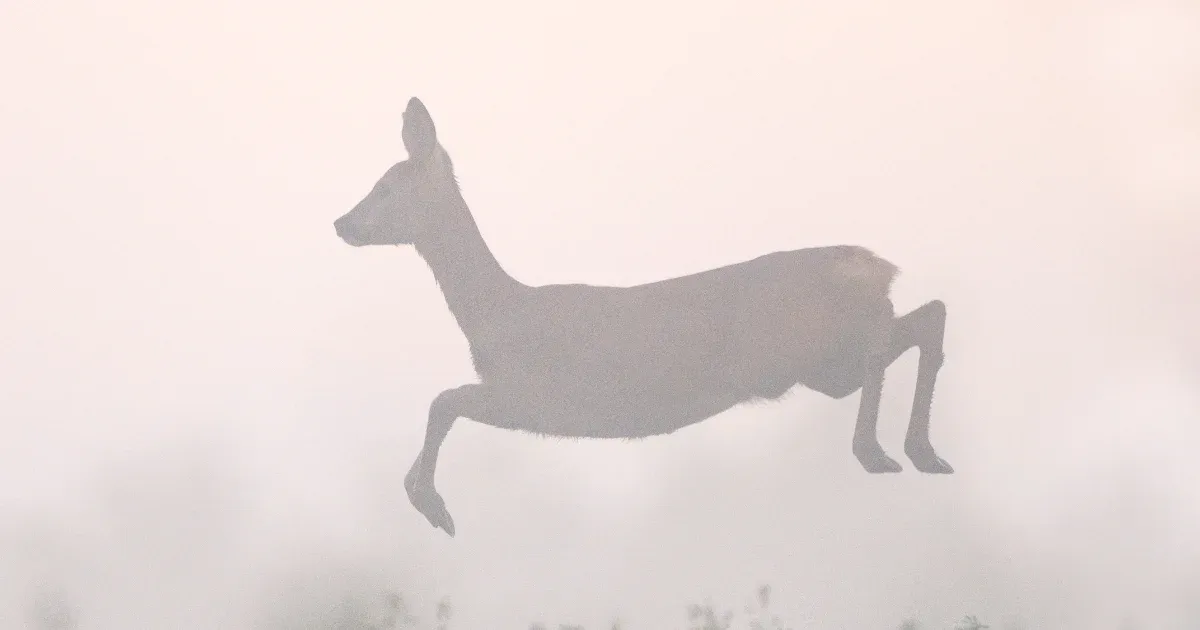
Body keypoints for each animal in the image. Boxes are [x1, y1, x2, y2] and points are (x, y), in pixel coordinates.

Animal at [333, 98, 950, 535]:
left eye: (386, 187)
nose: (342, 223)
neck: (497, 316)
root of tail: (876, 265)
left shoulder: (534, 395)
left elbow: (443, 401)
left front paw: (430, 503)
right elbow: (441, 407)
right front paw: (420, 492)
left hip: (822, 350)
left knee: (896, 337)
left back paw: (877, 453)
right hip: (823, 366)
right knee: (926, 317)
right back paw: (923, 454)